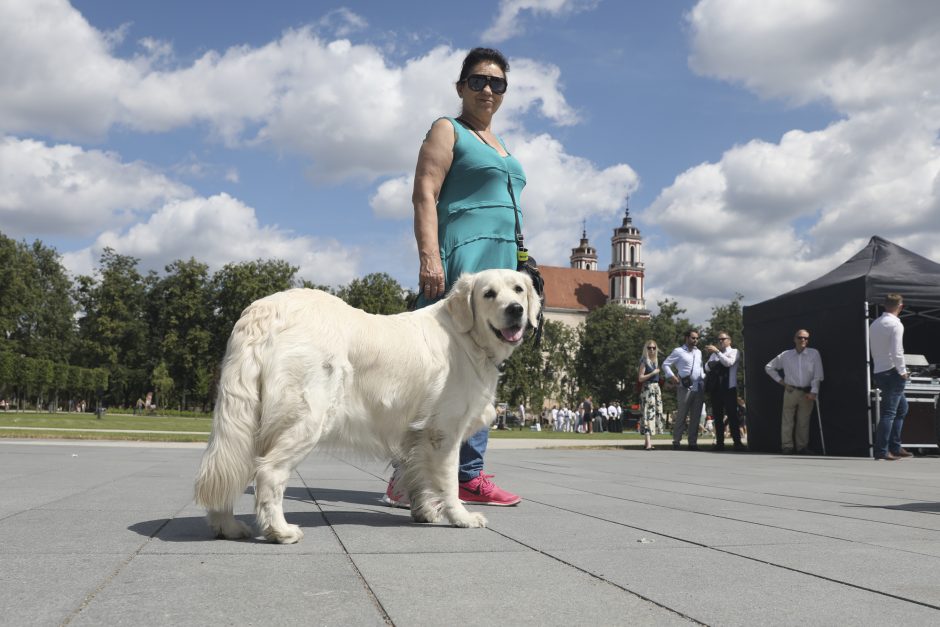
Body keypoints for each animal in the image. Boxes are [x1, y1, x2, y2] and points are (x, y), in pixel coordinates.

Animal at [195, 270, 540, 544]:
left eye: (518, 289)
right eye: (488, 293)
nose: (516, 310)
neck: (467, 336)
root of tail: (265, 309)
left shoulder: (417, 436)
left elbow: (418, 476)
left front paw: (425, 511)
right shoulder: (444, 431)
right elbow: (448, 482)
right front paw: (461, 518)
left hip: (247, 417)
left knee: (233, 466)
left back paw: (227, 526)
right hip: (308, 417)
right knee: (268, 472)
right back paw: (280, 531)